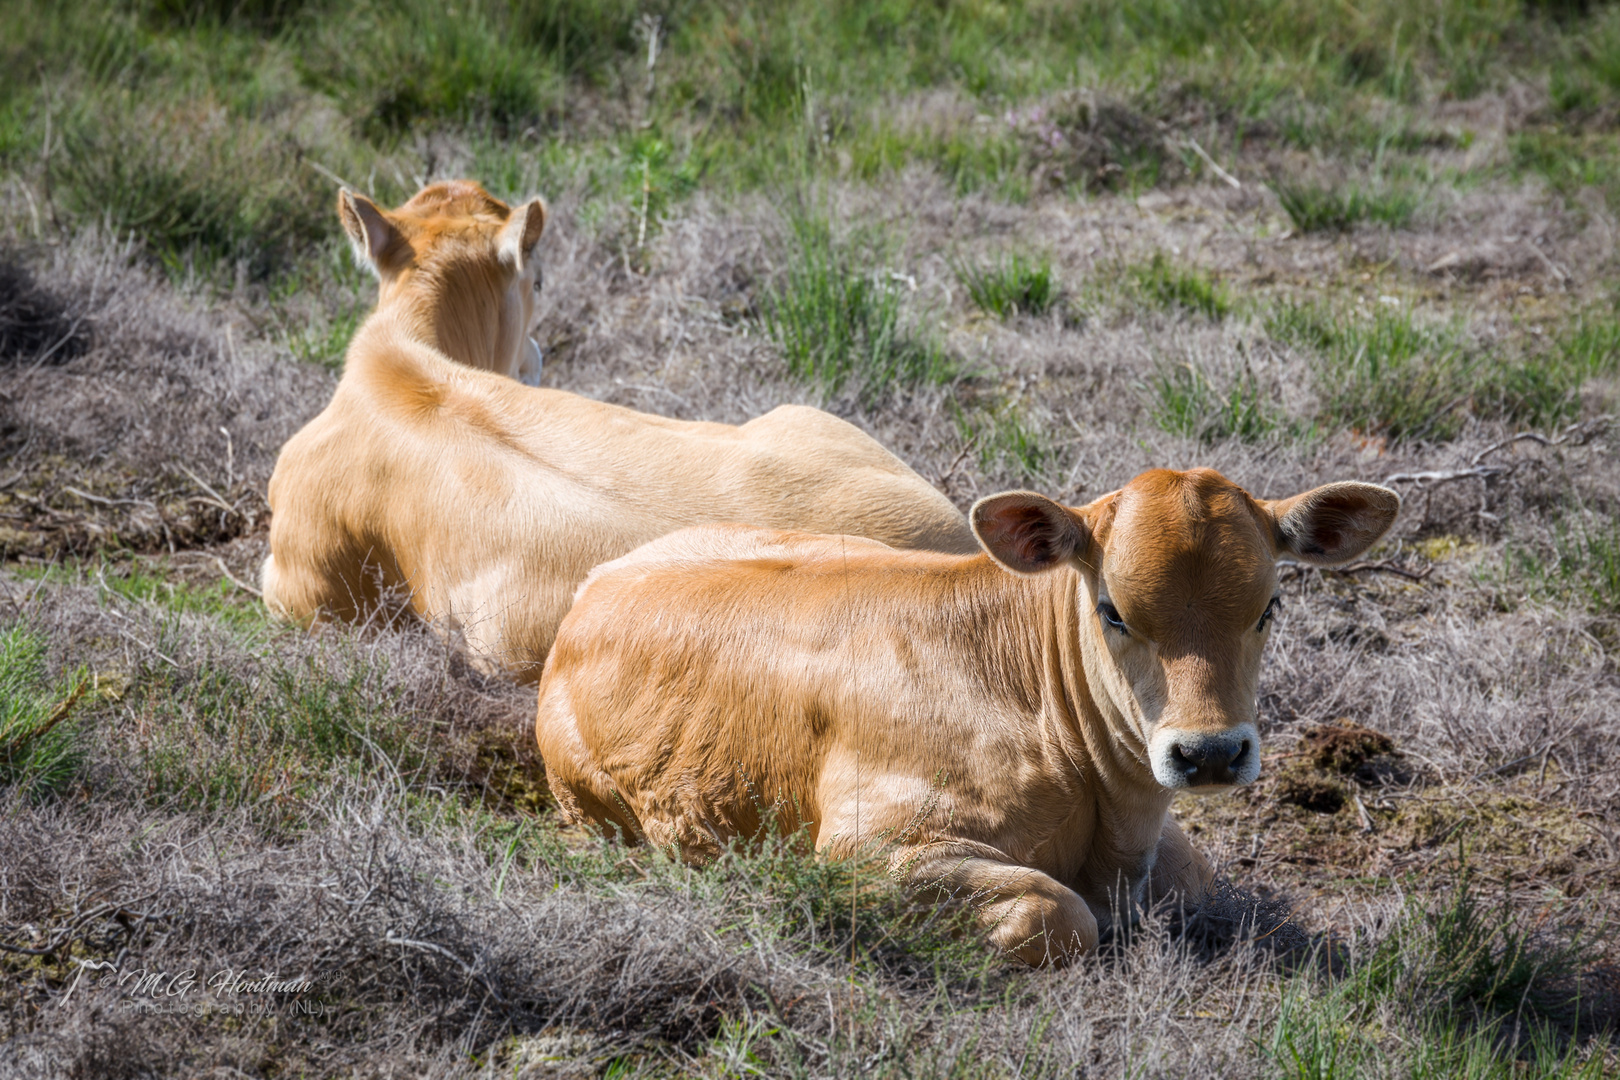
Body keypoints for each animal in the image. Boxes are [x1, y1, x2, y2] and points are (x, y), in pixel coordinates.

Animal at [537, 469, 1399, 965]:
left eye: (1270, 605)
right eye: (1113, 611)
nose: (1210, 752)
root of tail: (593, 590)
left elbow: (1195, 877)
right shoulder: (865, 851)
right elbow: (1058, 914)